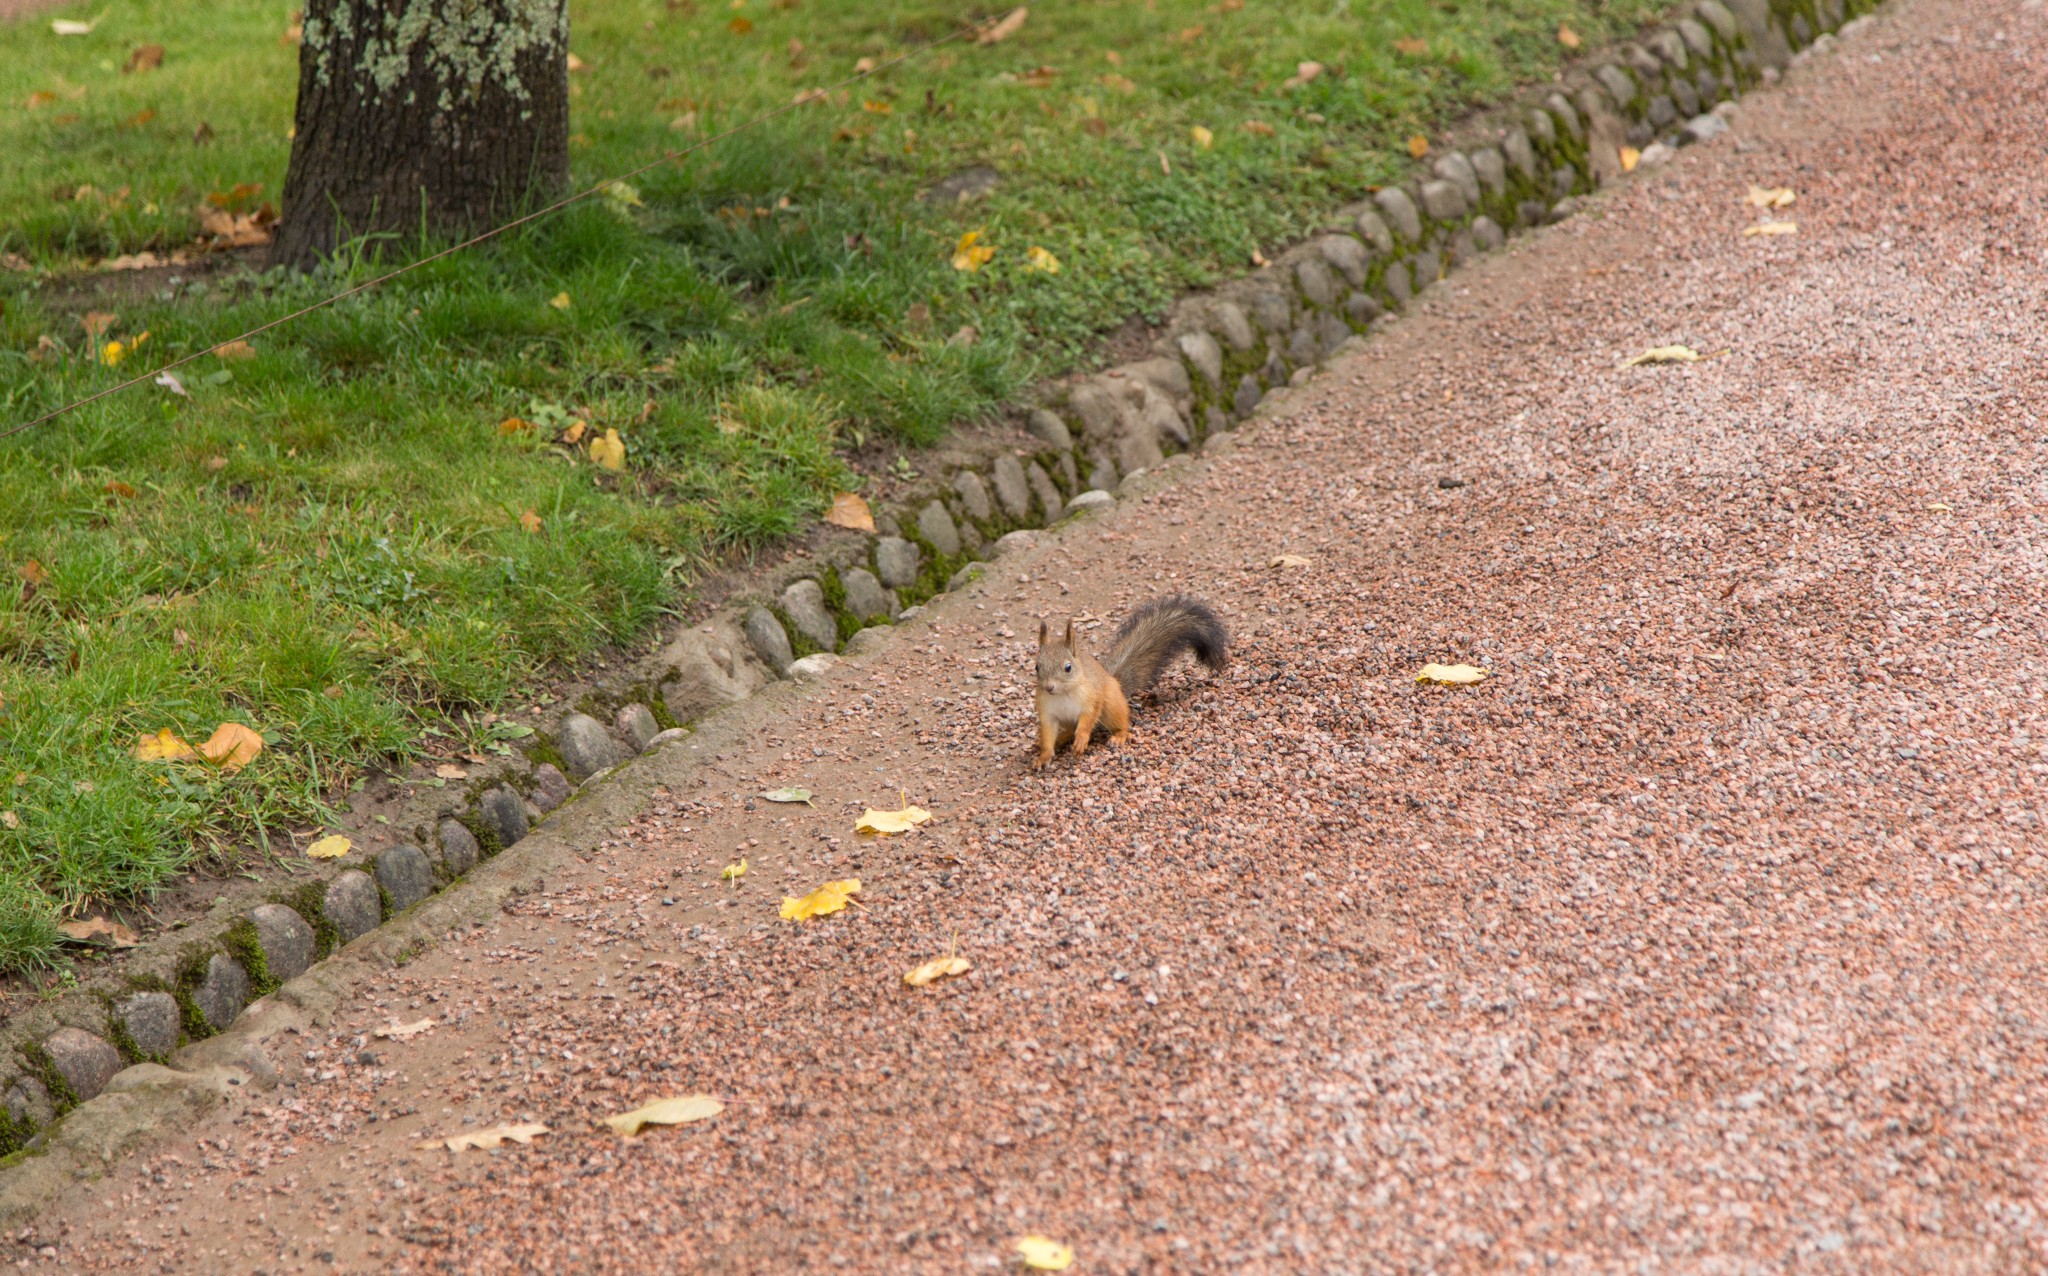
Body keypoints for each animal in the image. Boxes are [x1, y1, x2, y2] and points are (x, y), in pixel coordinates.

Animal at [1032, 589, 1220, 770]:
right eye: (1037, 667)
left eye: (1068, 667)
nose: (1049, 687)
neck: (1063, 693)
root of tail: (1115, 682)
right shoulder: (1047, 711)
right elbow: (1048, 735)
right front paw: (1044, 756)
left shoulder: (1092, 697)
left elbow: (1088, 719)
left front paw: (1081, 739)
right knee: (1070, 729)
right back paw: (1062, 738)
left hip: (1111, 706)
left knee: (1121, 724)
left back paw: (1118, 736)